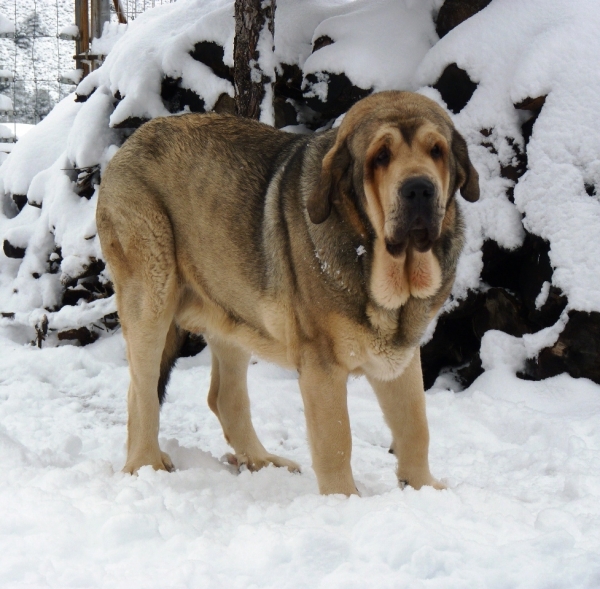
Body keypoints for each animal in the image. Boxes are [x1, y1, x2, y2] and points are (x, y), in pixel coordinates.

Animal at [99, 90, 482, 496]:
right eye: (381, 156)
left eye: (437, 150)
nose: (419, 188)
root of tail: (130, 142)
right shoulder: (321, 366)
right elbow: (336, 441)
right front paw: (344, 500)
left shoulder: (401, 357)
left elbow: (415, 427)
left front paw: (424, 488)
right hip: (151, 294)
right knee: (141, 392)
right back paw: (146, 465)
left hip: (234, 311)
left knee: (224, 397)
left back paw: (261, 460)